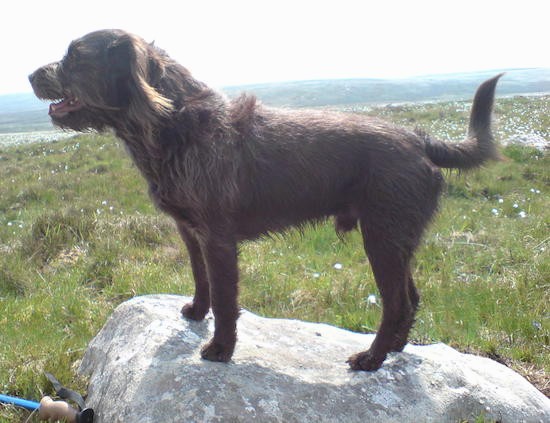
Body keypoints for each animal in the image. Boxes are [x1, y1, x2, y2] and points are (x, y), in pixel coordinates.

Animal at [30, 29, 504, 372]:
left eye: (75, 56)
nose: (31, 76)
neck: (176, 123)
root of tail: (420, 140)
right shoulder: (190, 232)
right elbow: (201, 280)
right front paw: (196, 312)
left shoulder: (219, 239)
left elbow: (226, 300)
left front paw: (220, 349)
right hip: (396, 241)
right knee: (410, 298)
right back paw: (395, 349)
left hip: (382, 239)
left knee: (397, 302)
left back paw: (372, 358)